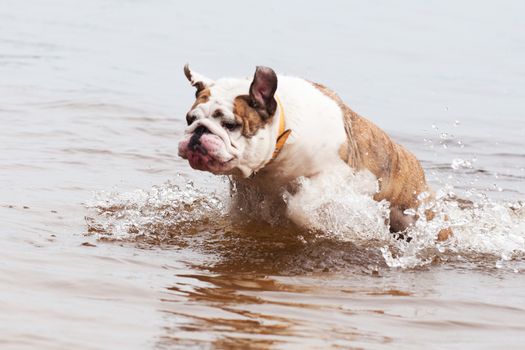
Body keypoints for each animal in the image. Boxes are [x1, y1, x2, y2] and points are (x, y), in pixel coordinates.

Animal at [177, 65, 450, 241]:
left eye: (229, 125)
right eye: (190, 118)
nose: (198, 131)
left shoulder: (334, 174)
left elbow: (299, 205)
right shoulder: (245, 194)